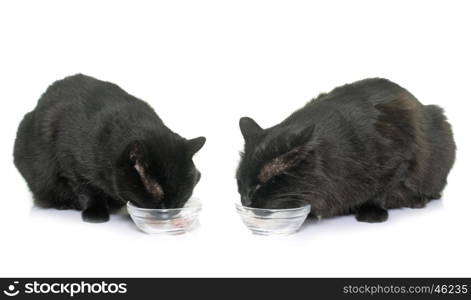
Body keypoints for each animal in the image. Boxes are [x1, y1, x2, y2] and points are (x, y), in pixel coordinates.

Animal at [13, 74, 206, 221]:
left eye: (184, 194)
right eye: (157, 191)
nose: (169, 211)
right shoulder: (72, 165)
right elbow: (87, 190)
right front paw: (95, 213)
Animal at [238, 77, 456, 223]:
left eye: (264, 182)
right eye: (239, 179)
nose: (246, 199)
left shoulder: (401, 158)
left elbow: (383, 190)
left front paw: (371, 212)